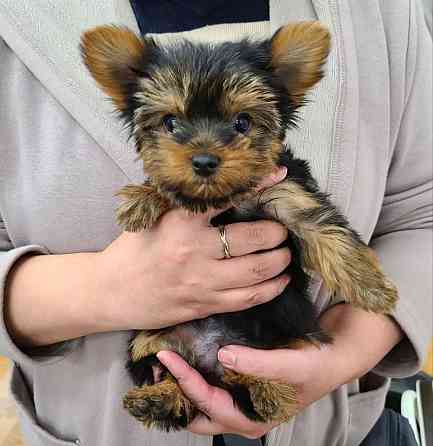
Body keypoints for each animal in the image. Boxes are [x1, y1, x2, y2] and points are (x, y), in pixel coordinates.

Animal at [79, 22, 396, 430]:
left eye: (242, 122)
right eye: (171, 122)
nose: (203, 161)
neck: (223, 201)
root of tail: (210, 355)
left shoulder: (286, 194)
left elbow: (327, 230)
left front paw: (372, 288)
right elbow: (170, 187)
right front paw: (144, 199)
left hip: (273, 342)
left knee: (240, 375)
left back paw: (270, 391)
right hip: (153, 342)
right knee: (174, 377)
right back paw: (158, 399)